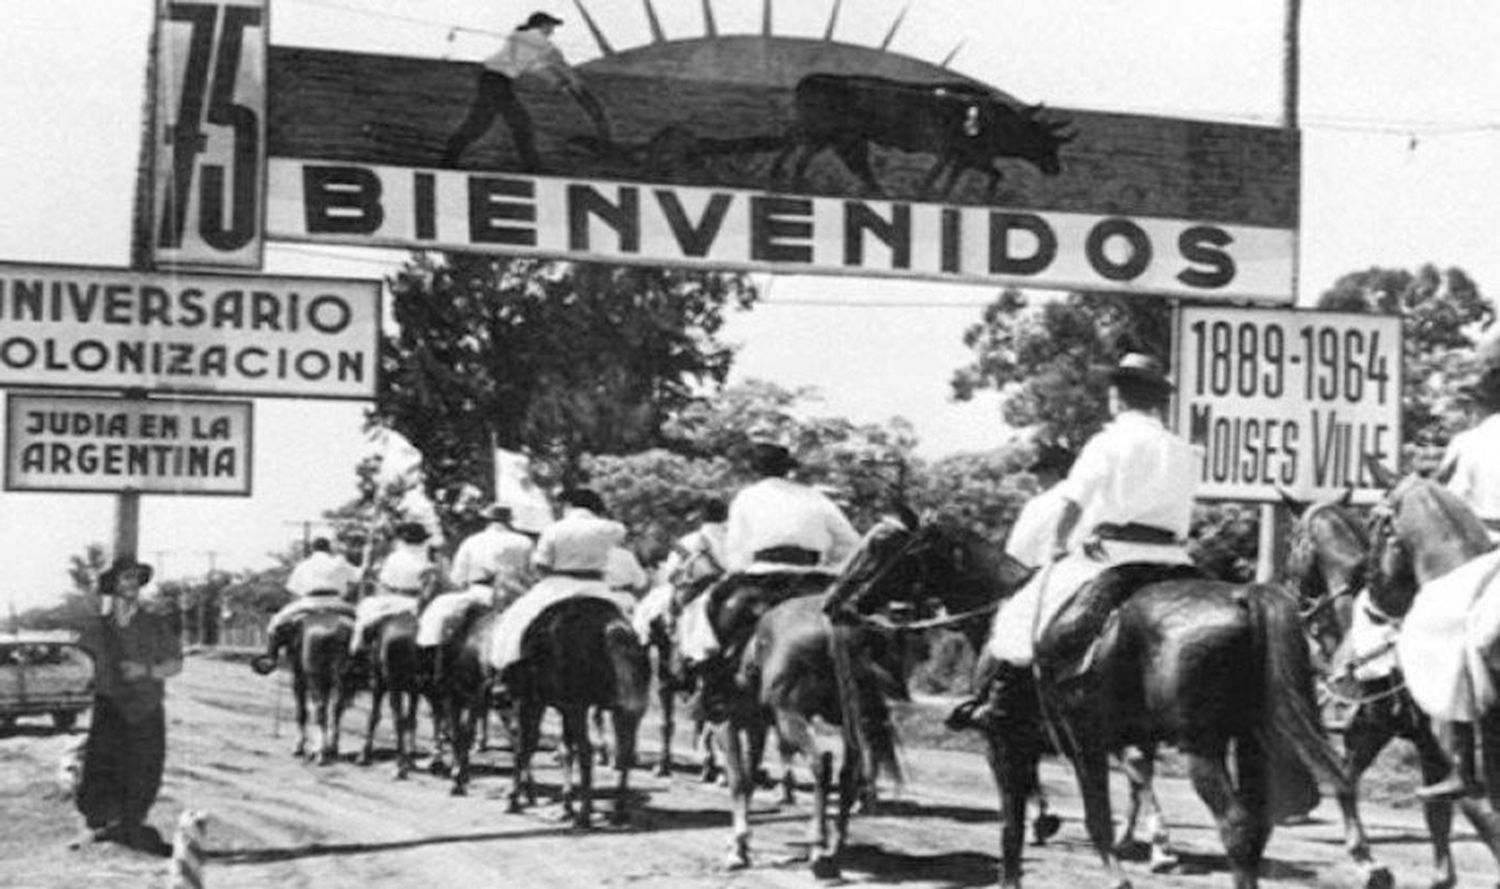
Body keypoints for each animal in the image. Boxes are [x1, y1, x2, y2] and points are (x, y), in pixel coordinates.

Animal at [504, 593, 651, 827]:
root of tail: (614, 630)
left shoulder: (541, 702)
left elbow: (527, 744)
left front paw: (513, 799)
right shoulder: (566, 708)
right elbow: (564, 749)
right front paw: (566, 806)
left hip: (579, 706)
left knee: (587, 750)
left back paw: (584, 815)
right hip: (630, 708)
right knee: (624, 752)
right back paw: (618, 811)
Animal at [828, 512, 1386, 887]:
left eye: (884, 549)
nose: (838, 602)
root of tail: (1243, 595)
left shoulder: (1013, 742)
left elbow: (1026, 825)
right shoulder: (1086, 744)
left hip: (1201, 747)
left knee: (1237, 828)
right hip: (1250, 744)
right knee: (1262, 826)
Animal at [1278, 488, 1500, 881]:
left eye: (1291, 541)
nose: (1297, 604)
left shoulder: (1369, 729)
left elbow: (1344, 778)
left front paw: (1366, 858)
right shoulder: (1421, 743)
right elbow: (1437, 815)